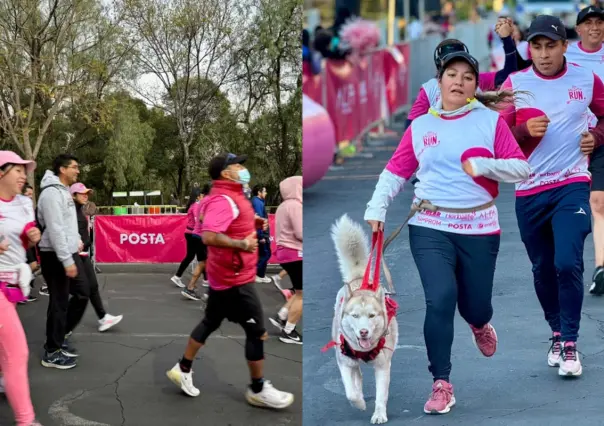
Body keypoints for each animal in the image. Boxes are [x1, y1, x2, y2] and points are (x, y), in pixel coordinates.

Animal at [328, 215, 398, 424]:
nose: (364, 332)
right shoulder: (343, 362)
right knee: (356, 376)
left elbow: (381, 395)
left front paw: (379, 414)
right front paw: (359, 403)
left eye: (372, 316)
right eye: (355, 316)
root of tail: (361, 278)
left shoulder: (383, 366)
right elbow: (350, 393)